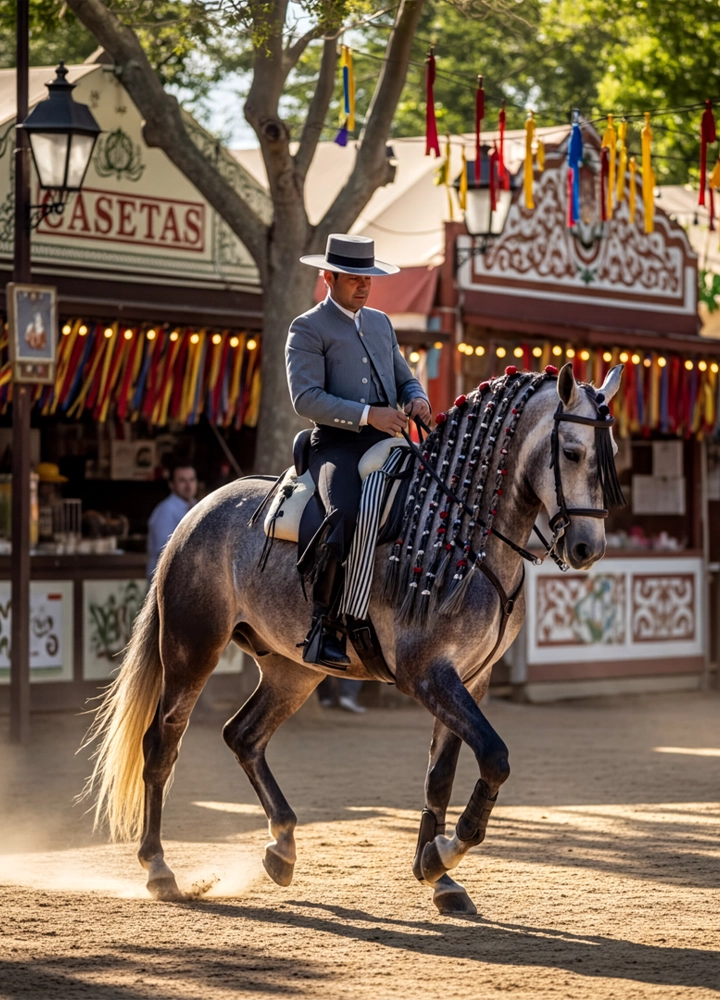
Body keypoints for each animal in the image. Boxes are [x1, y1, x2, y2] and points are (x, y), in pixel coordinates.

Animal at [82, 361, 624, 916]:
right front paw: (445, 853)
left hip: (293, 670)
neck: (461, 536)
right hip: (192, 651)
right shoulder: (427, 675)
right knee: (161, 745)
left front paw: (438, 874)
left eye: (610, 456)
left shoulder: (471, 678)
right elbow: (494, 757)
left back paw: (282, 846)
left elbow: (440, 776)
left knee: (243, 735)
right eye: (572, 452)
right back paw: (159, 868)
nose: (589, 548)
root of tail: (199, 510)